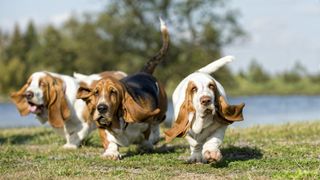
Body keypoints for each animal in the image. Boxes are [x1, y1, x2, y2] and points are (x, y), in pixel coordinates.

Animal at [76, 18, 169, 159]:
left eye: (113, 92)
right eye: (96, 93)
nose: (101, 108)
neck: (118, 121)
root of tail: (144, 72)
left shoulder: (145, 122)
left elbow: (146, 135)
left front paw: (146, 145)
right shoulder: (103, 127)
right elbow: (109, 140)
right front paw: (111, 153)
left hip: (161, 109)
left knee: (157, 122)